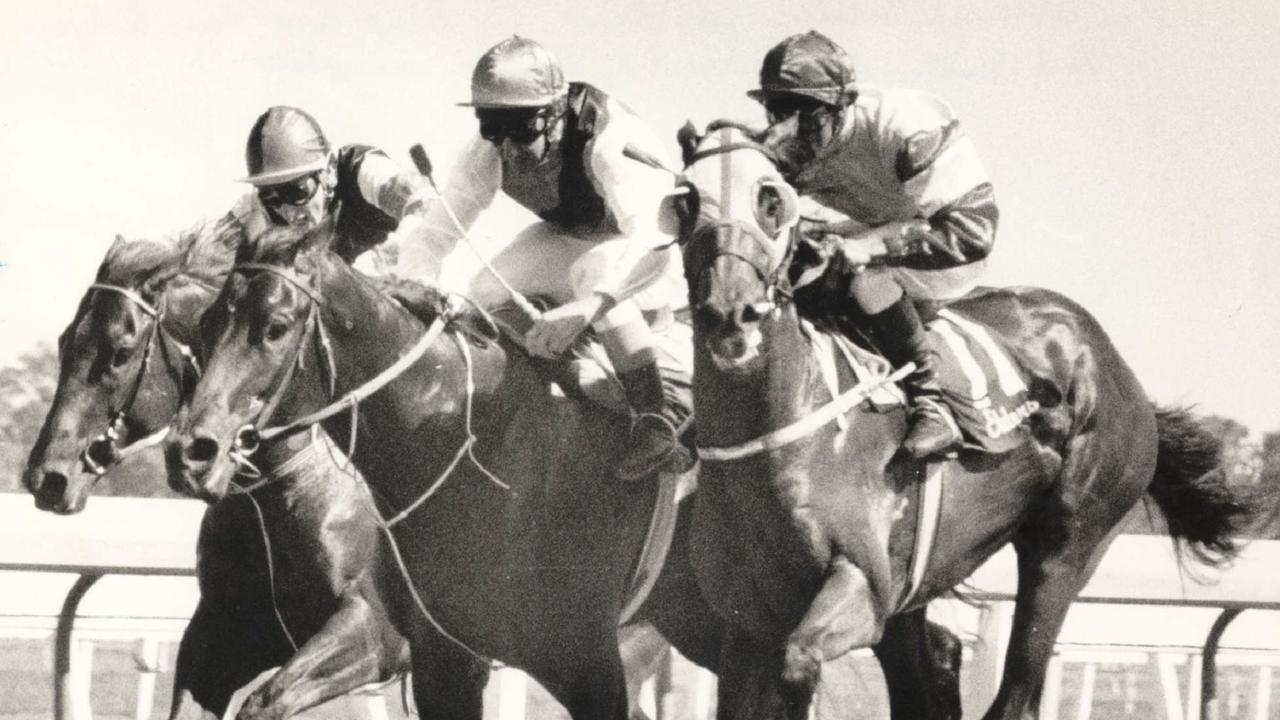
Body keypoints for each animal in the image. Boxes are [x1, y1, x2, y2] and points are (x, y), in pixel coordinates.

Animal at [21, 226, 419, 717]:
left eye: (120, 353)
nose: (47, 479)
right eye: (64, 342)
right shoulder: (224, 634)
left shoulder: (376, 630)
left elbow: (264, 701)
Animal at [162, 219, 967, 717]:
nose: (191, 451)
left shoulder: (569, 659)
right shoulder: (441, 659)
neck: (475, 448)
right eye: (202, 326)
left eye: (274, 327)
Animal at [670, 124, 1249, 717]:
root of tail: (1112, 362)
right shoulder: (746, 624)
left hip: (1068, 544)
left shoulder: (863, 586)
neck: (782, 432)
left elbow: (799, 659)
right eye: (686, 201)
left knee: (1018, 686)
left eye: (771, 199)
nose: (730, 314)